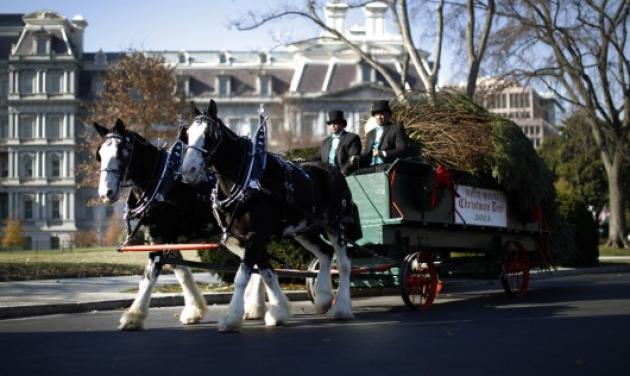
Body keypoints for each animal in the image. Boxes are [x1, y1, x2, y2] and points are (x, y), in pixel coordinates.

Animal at [95, 119, 268, 330]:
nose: (106, 193)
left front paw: (133, 316)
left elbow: (149, 277)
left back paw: (254, 306)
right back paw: (254, 306)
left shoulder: (161, 237)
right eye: (100, 154)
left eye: (120, 153)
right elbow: (181, 273)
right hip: (232, 238)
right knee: (254, 261)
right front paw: (194, 310)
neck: (163, 184)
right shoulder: (162, 239)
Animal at [180, 100, 362, 332]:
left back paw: (342, 308)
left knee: (345, 263)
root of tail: (334, 170)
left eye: (209, 134)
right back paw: (323, 298)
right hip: (304, 230)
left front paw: (231, 318)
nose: (188, 170)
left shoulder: (256, 236)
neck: (248, 180)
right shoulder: (249, 238)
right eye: (187, 134)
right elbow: (267, 273)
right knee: (325, 253)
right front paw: (278, 311)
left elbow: (242, 277)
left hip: (335, 226)